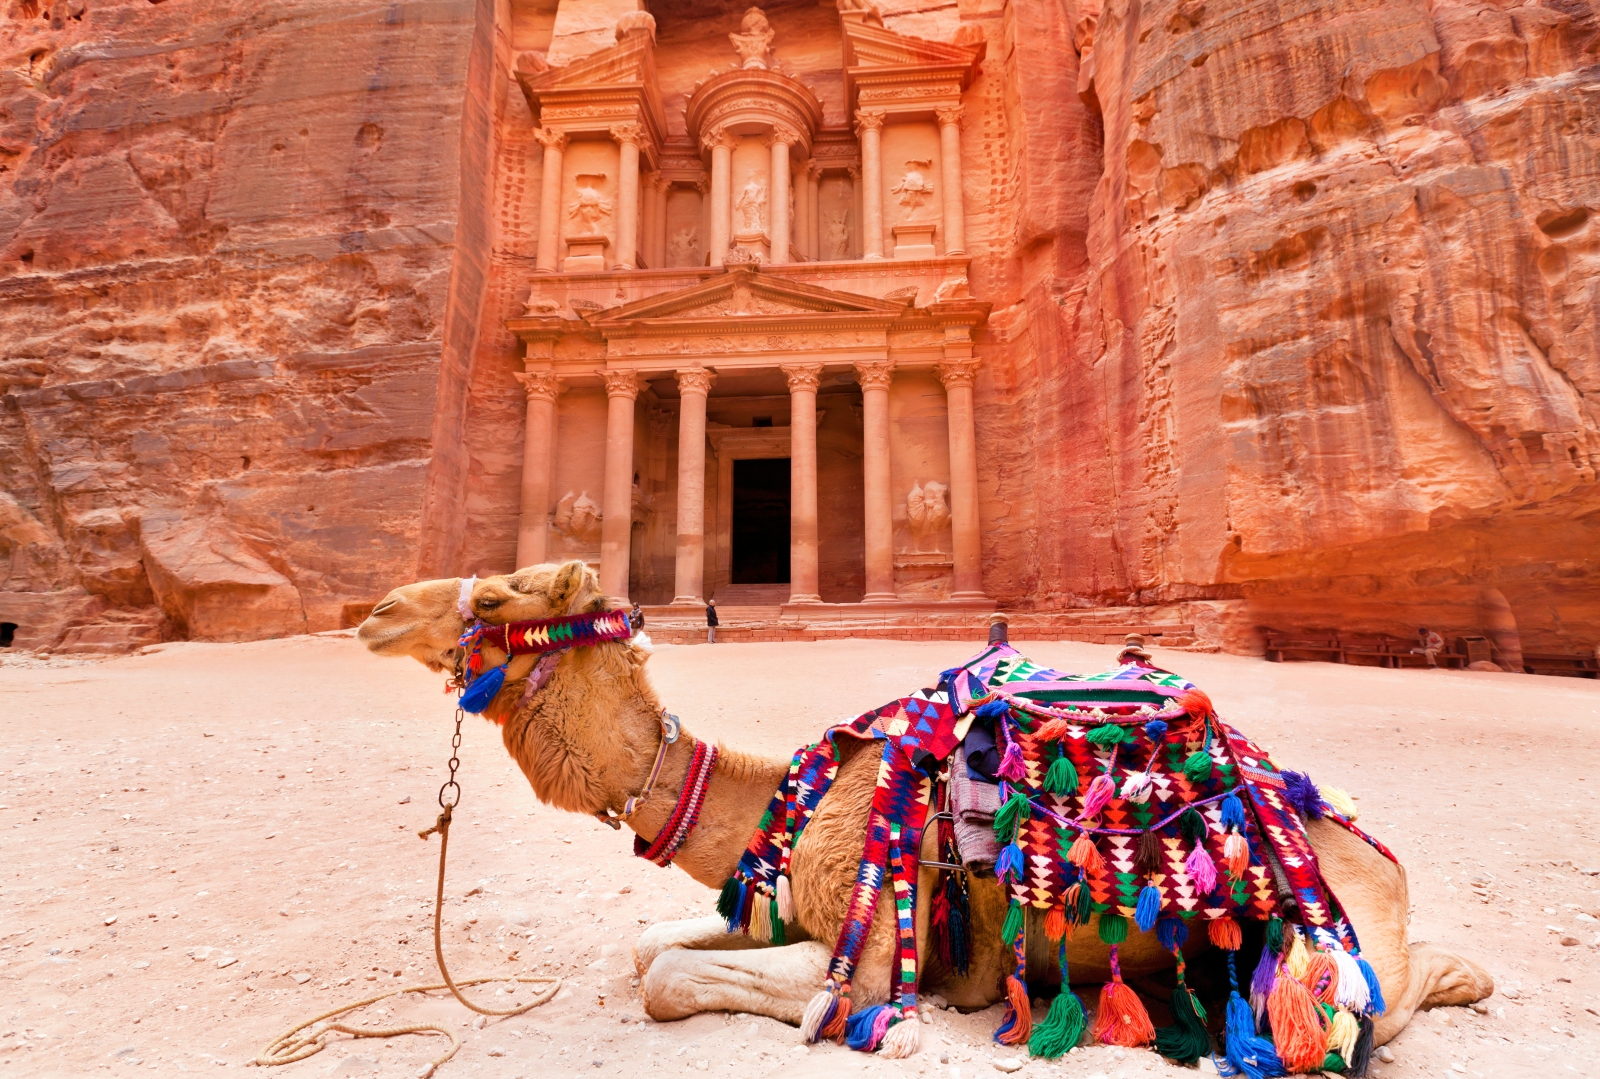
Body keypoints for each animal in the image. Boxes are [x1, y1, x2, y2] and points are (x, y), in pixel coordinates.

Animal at [356, 560, 1491, 1056]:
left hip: (1328, 940)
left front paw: (897, 1030)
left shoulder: (861, 950)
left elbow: (674, 981)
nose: (374, 610)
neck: (792, 794)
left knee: (1368, 998)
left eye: (495, 594)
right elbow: (646, 946)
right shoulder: (779, 897)